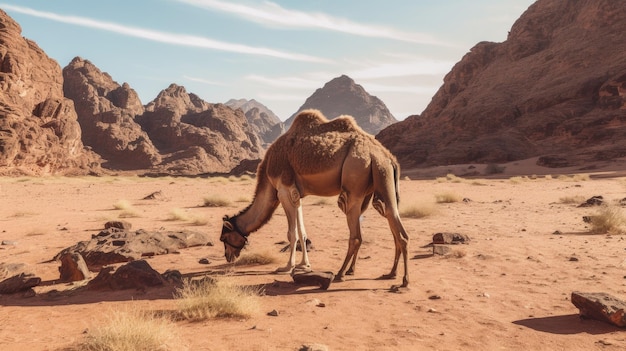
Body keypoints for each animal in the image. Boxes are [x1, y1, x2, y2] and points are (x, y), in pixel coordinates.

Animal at [219, 108, 410, 288]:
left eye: (224, 238)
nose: (228, 256)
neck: (267, 173)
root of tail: (385, 156)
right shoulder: (296, 194)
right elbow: (302, 232)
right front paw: (304, 265)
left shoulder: (283, 190)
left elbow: (291, 233)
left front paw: (287, 267)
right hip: (382, 181)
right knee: (396, 228)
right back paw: (392, 275)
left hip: (356, 176)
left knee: (357, 235)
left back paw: (341, 273)